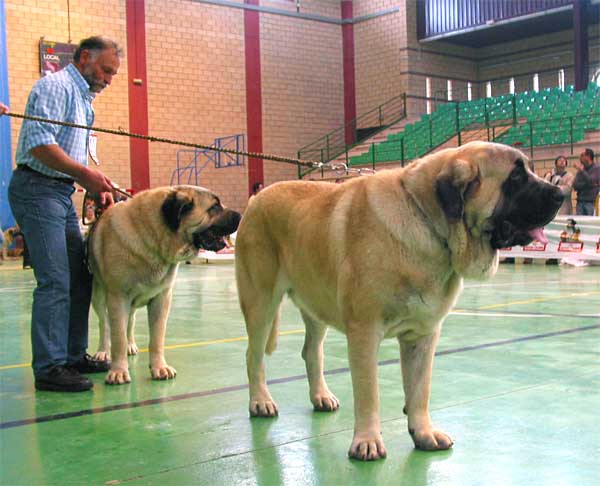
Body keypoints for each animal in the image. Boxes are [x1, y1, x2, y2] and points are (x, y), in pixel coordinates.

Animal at [89, 184, 239, 386]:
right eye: (214, 207)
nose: (240, 215)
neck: (151, 238)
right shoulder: (118, 298)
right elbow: (117, 337)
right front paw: (118, 371)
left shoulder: (161, 299)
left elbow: (157, 338)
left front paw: (159, 367)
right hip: (99, 296)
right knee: (104, 324)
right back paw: (103, 351)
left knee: (130, 322)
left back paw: (130, 345)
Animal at [234, 140, 564, 460]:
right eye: (516, 177)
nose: (560, 194)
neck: (427, 220)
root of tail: (256, 199)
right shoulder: (365, 333)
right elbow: (369, 391)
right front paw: (367, 441)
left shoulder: (423, 335)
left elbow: (420, 390)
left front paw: (424, 433)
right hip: (261, 302)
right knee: (253, 356)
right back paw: (260, 401)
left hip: (315, 304)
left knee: (312, 352)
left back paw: (321, 396)